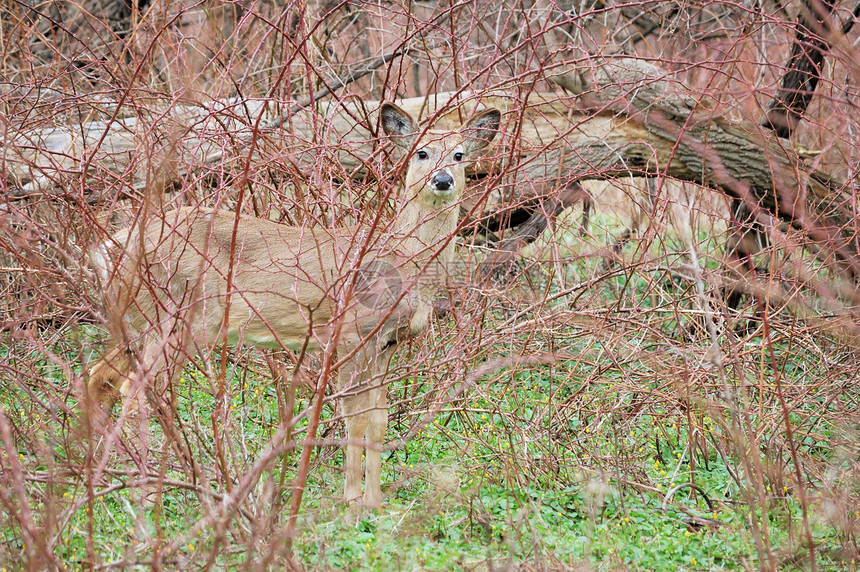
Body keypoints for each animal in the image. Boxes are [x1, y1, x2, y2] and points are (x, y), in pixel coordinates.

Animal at [86, 101, 500, 504]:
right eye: (421, 152)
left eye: (460, 154)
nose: (442, 180)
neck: (401, 261)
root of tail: (110, 245)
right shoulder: (351, 333)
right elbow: (355, 418)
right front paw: (351, 504)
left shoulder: (388, 343)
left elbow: (379, 421)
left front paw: (375, 503)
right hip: (175, 315)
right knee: (133, 391)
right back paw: (143, 489)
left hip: (140, 320)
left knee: (99, 376)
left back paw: (101, 476)